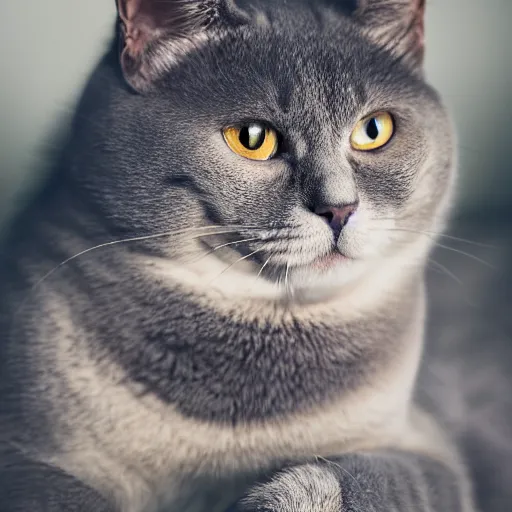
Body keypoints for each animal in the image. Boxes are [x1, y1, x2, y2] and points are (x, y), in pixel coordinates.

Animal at [2, 0, 510, 510]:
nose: (340, 208)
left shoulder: (432, 452)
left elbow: (368, 478)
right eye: (252, 137)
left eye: (374, 130)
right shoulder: (24, 454)